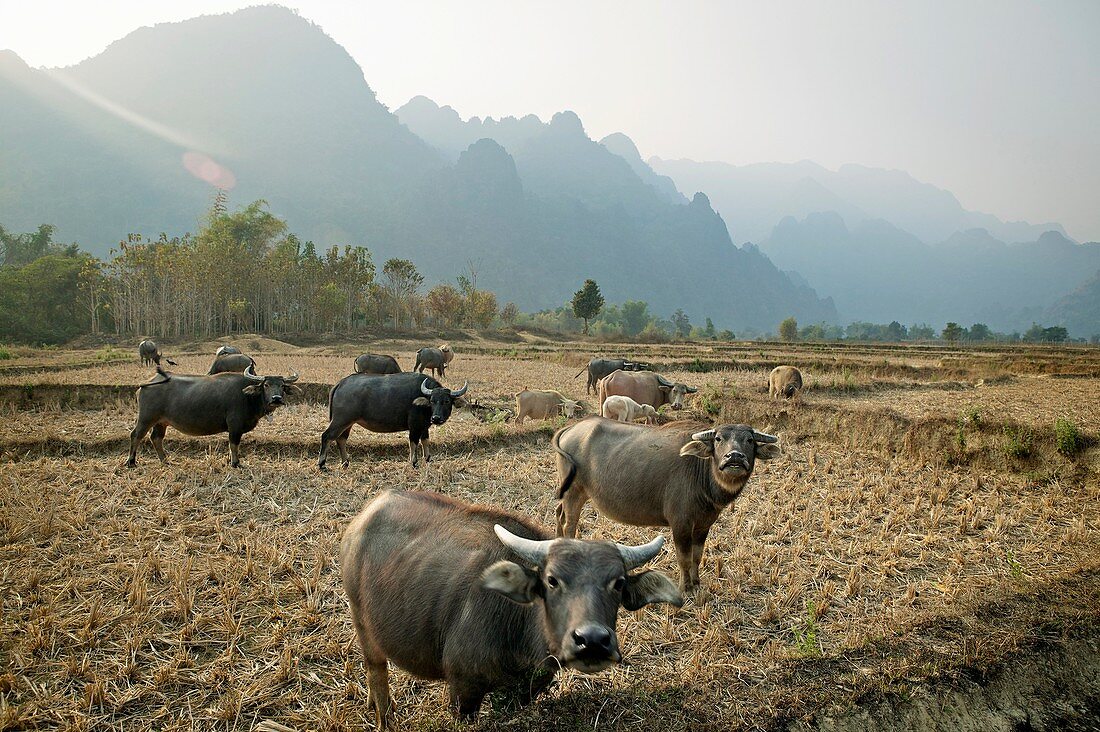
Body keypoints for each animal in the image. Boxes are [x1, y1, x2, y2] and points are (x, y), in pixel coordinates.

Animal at [127, 365, 301, 468]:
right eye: (266, 385)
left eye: (282, 386)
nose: (276, 399)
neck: (248, 396)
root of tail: (147, 383)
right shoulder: (234, 426)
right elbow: (234, 445)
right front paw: (235, 463)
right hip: (146, 418)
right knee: (136, 435)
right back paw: (131, 462)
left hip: (161, 422)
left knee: (156, 438)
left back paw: (165, 460)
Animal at [321, 372, 468, 468]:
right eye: (432, 401)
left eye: (446, 401)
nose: (436, 418)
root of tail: (341, 383)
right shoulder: (414, 426)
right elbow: (413, 442)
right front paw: (414, 462)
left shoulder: (424, 427)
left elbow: (425, 441)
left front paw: (427, 459)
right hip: (341, 420)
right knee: (327, 436)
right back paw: (322, 464)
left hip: (348, 423)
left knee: (341, 439)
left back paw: (345, 463)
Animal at [338, 488, 677, 726]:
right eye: (552, 580)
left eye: (618, 583)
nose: (592, 640)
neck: (519, 629)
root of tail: (363, 518)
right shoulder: (463, 690)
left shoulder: (526, 689)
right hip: (363, 624)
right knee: (376, 668)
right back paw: (384, 715)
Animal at [550, 416, 783, 594]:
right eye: (718, 438)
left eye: (749, 440)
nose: (734, 457)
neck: (701, 473)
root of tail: (573, 428)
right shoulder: (680, 525)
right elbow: (684, 558)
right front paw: (684, 587)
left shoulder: (703, 525)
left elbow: (697, 556)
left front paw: (696, 583)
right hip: (574, 492)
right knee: (570, 523)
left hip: (569, 493)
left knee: (559, 514)